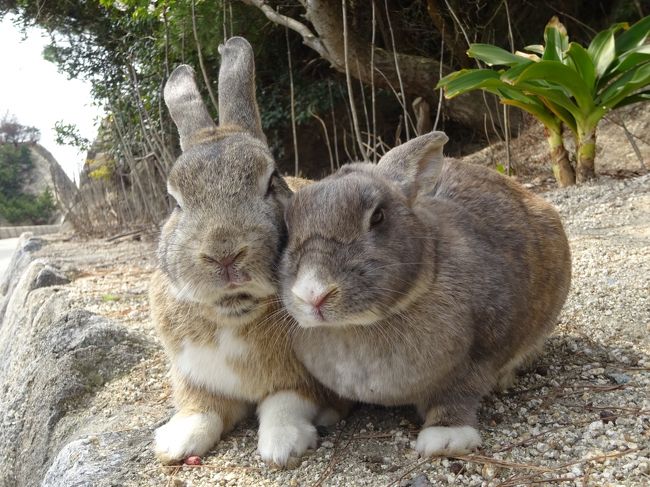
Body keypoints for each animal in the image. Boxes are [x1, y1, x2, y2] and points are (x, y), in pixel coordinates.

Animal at [148, 37, 340, 466]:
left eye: (271, 182)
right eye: (174, 202)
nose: (224, 254)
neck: (233, 317)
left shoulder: (307, 382)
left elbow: (285, 402)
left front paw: (283, 446)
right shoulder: (194, 377)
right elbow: (200, 408)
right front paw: (174, 443)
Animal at [278, 131, 568, 458]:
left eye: (378, 217)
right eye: (287, 228)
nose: (313, 294)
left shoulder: (482, 353)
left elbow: (459, 394)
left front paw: (446, 437)